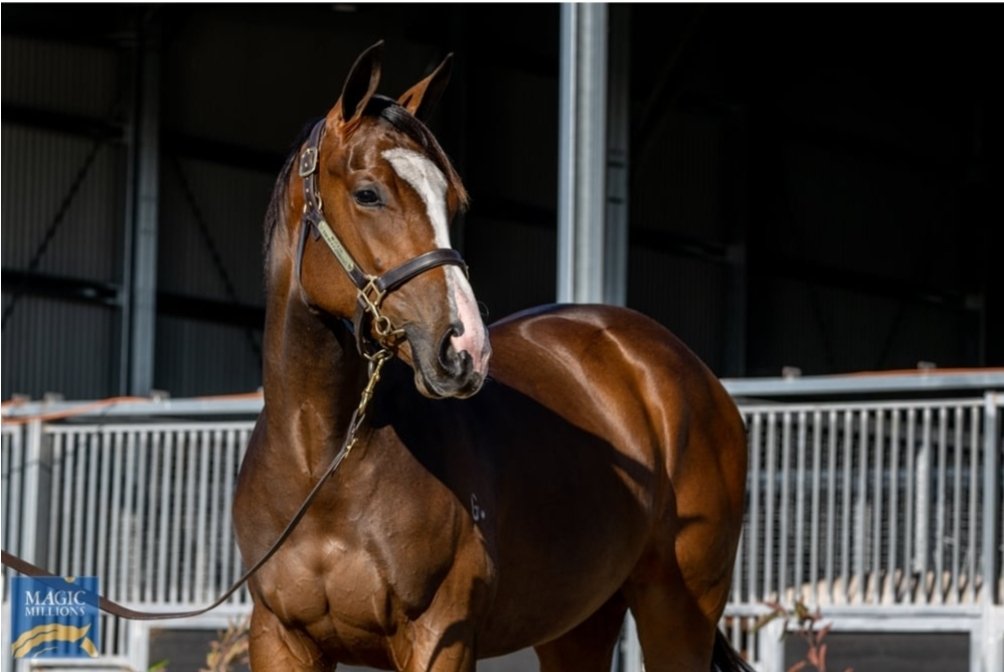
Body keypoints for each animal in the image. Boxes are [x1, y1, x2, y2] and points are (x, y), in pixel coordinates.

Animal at [233, 42, 752, 672]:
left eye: (452, 200)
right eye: (367, 193)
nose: (465, 347)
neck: (324, 463)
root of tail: (684, 372)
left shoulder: (442, 637)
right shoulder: (280, 637)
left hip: (678, 609)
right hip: (577, 624)